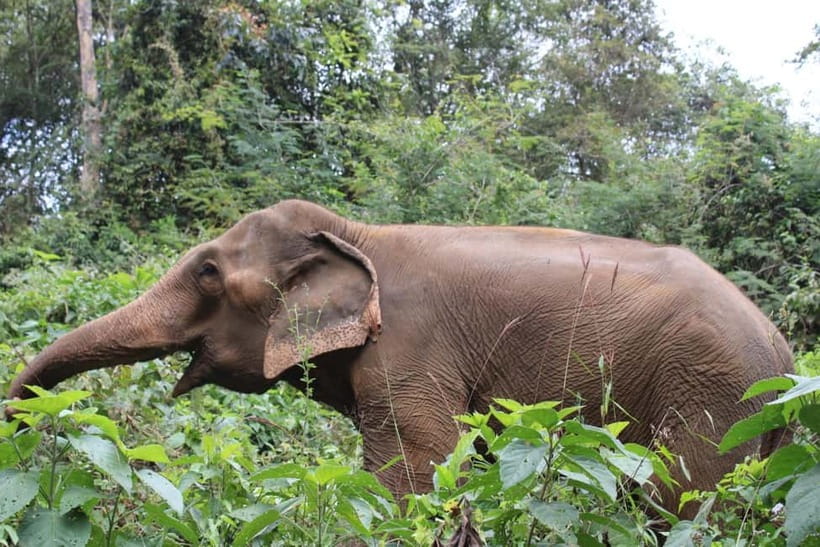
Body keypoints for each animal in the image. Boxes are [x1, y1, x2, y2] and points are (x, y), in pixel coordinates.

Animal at [6, 200, 793, 518]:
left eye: (206, 273)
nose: (25, 425)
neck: (356, 233)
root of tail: (786, 351)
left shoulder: (410, 352)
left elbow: (413, 469)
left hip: (714, 398)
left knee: (677, 501)